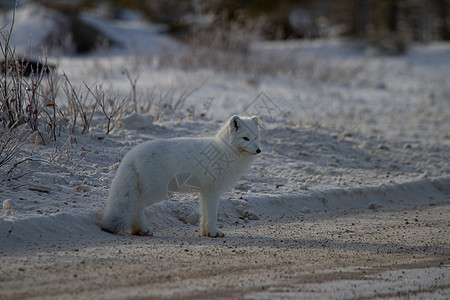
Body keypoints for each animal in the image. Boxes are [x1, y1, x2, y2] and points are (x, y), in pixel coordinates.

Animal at [101, 115, 260, 237]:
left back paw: (138, 230)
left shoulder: (205, 192)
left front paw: (207, 233)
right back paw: (143, 229)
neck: (225, 151)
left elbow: (204, 215)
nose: (259, 150)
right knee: (137, 206)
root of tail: (132, 154)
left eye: (256, 138)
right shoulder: (213, 191)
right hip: (157, 192)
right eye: (245, 138)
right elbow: (212, 214)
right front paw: (214, 232)